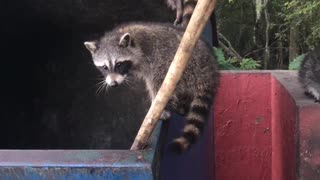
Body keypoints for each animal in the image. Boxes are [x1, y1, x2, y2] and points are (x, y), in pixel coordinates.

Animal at [84, 22, 220, 152]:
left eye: (119, 64)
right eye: (104, 67)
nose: (113, 84)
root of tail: (209, 69)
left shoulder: (153, 56)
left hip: (186, 66)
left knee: (159, 79)